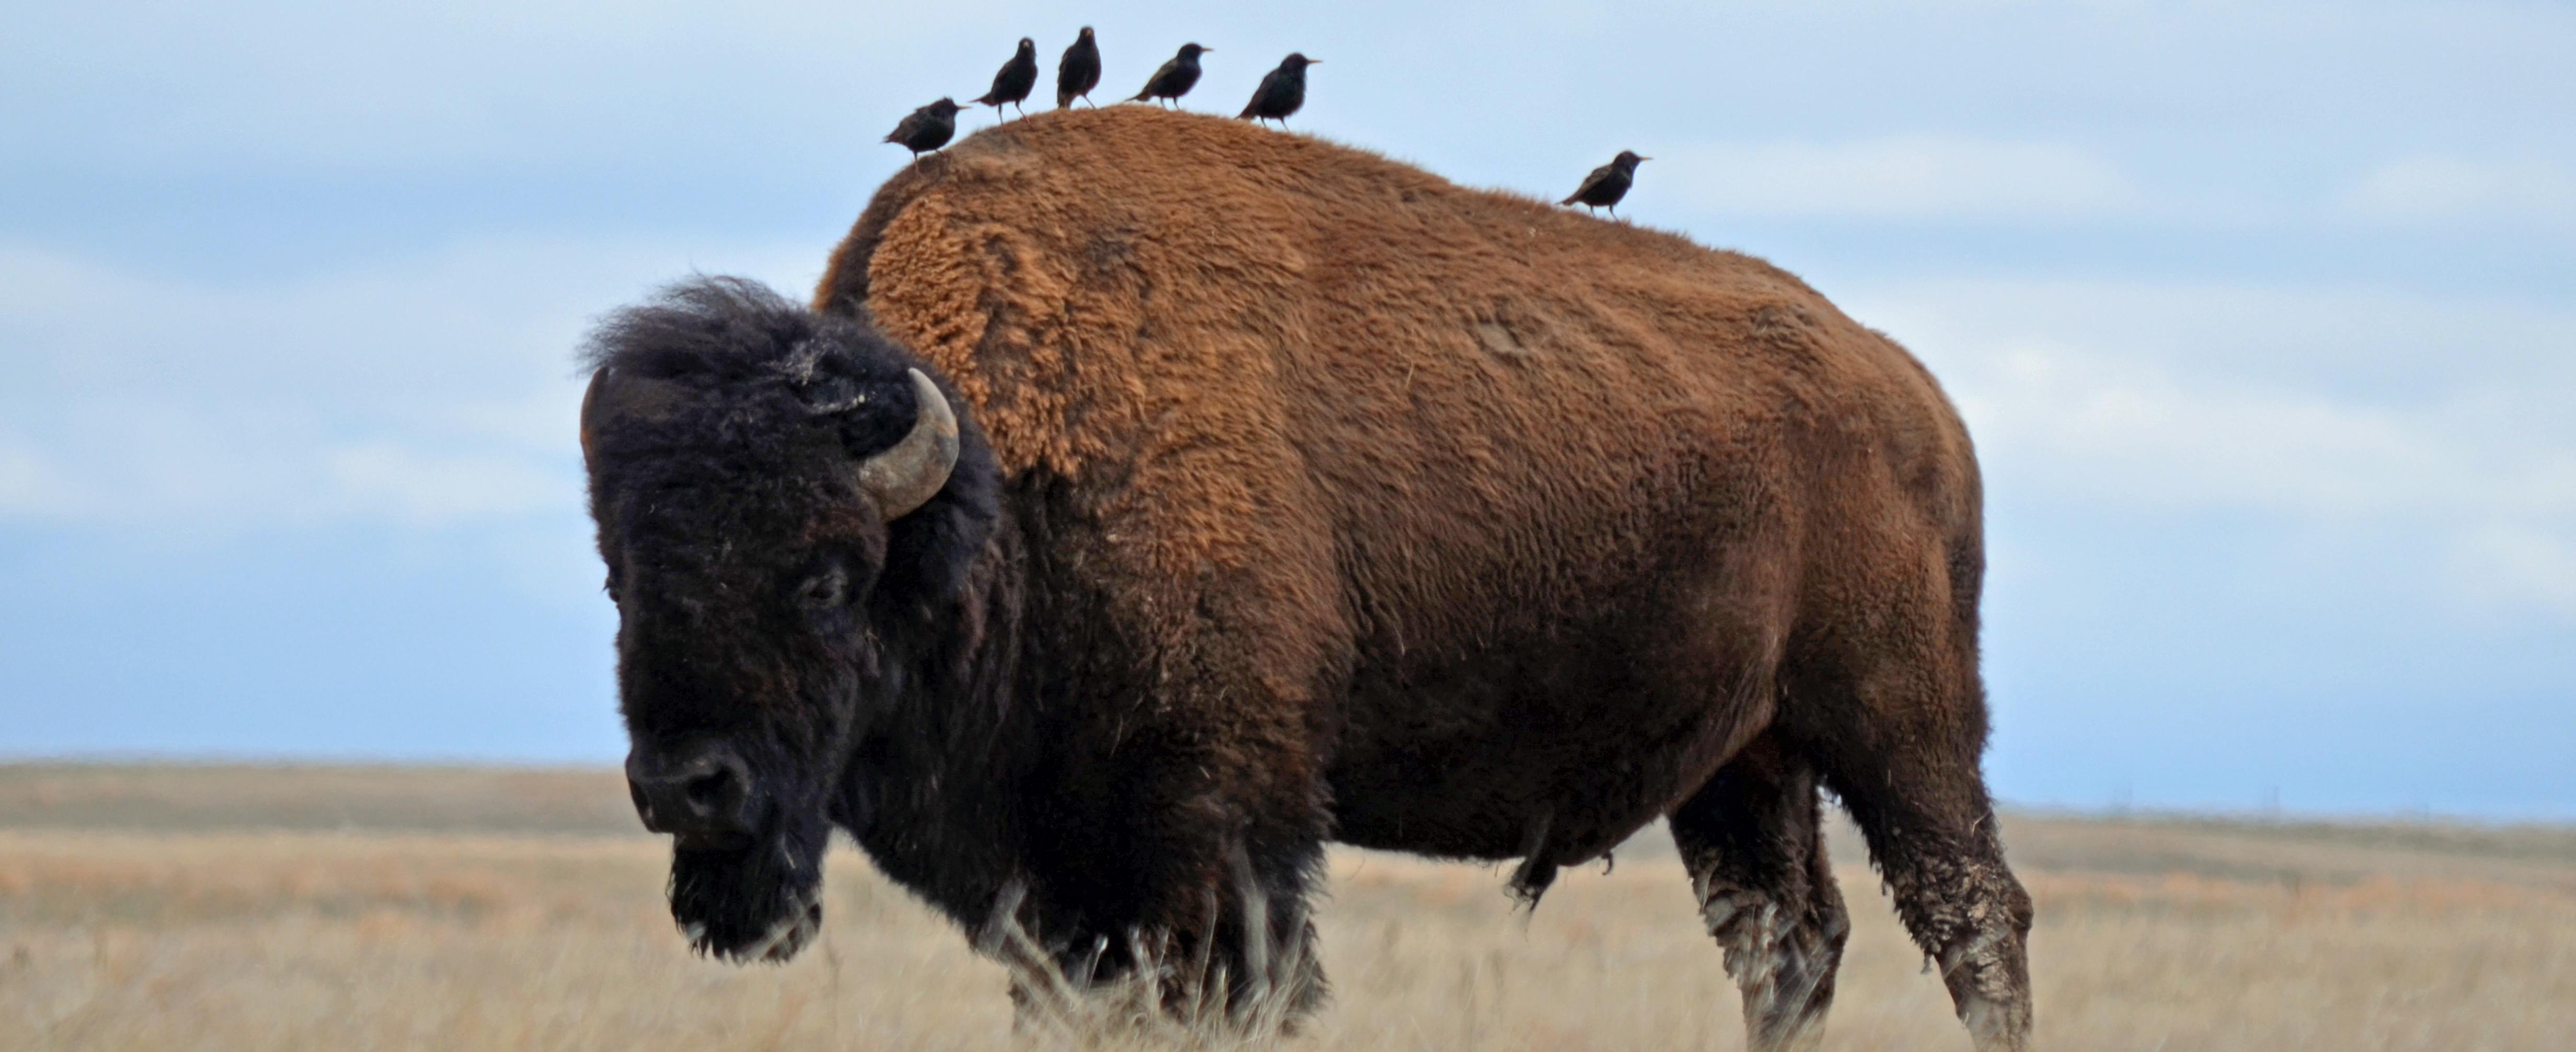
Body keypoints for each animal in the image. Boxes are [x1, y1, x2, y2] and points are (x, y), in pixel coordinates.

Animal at [580, 106, 2033, 1050]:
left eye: (829, 578)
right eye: (622, 581)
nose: (687, 787)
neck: (998, 488)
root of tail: (1912, 391)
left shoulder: (1212, 825)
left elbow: (1230, 990)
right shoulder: (1059, 873)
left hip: (1901, 723)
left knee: (1972, 915)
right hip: (1744, 761)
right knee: (1786, 941)